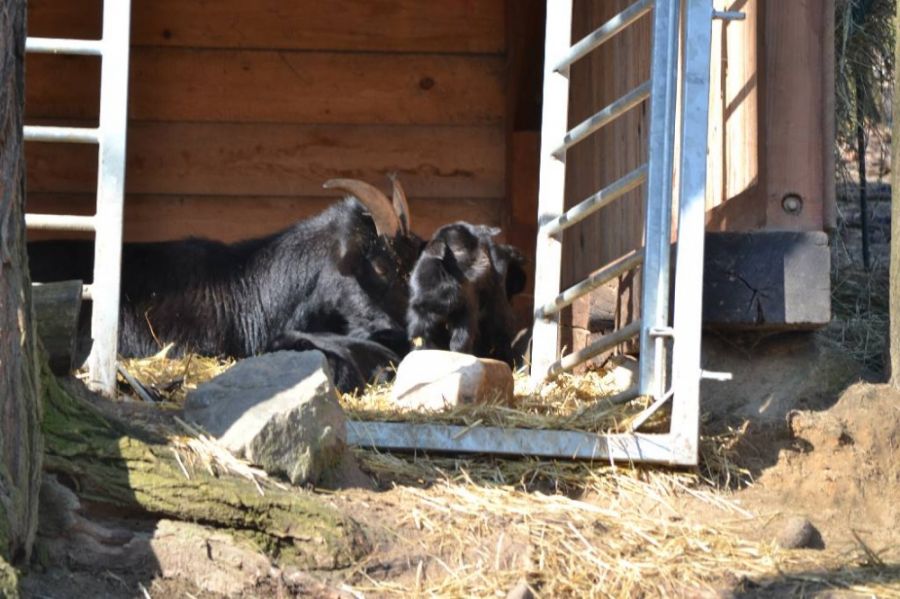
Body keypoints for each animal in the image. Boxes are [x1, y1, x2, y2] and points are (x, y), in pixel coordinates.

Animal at [408, 221, 528, 366]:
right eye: (458, 250)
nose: (485, 264)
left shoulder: (467, 305)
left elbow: (460, 340)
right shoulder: (420, 313)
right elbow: (421, 339)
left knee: (500, 328)